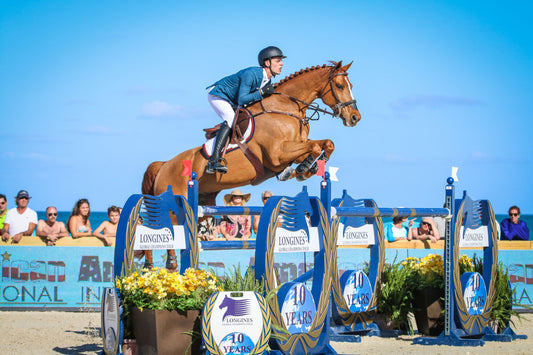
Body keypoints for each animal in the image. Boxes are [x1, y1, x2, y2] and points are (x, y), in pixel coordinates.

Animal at [140, 61, 362, 268]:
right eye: (340, 85)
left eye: (351, 85)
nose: (355, 118)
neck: (285, 109)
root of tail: (164, 165)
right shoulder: (277, 154)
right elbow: (314, 147)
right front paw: (301, 169)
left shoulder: (293, 150)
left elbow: (325, 144)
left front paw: (308, 168)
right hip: (175, 203)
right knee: (164, 228)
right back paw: (168, 262)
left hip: (203, 206)